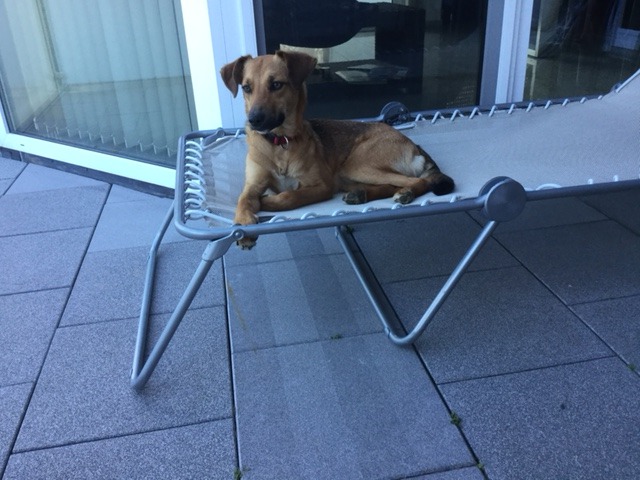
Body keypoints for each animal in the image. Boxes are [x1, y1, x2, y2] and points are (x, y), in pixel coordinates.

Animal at [220, 50, 454, 249]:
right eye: (246, 88)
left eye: (276, 84)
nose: (254, 120)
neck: (280, 143)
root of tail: (414, 145)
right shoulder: (252, 185)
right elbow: (243, 200)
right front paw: (243, 223)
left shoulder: (322, 186)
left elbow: (290, 196)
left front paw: (268, 202)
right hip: (350, 175)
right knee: (390, 184)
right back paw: (361, 195)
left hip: (356, 164)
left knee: (416, 181)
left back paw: (405, 192)